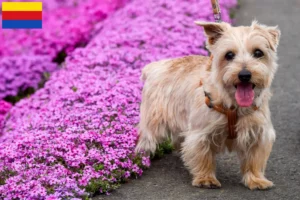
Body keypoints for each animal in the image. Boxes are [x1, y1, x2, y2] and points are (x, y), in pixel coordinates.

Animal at [135, 20, 280, 191]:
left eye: (258, 52)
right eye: (229, 55)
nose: (244, 75)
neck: (233, 105)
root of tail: (155, 66)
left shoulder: (258, 133)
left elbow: (254, 159)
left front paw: (256, 179)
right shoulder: (200, 133)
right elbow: (203, 156)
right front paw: (206, 179)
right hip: (153, 121)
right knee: (146, 139)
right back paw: (141, 159)